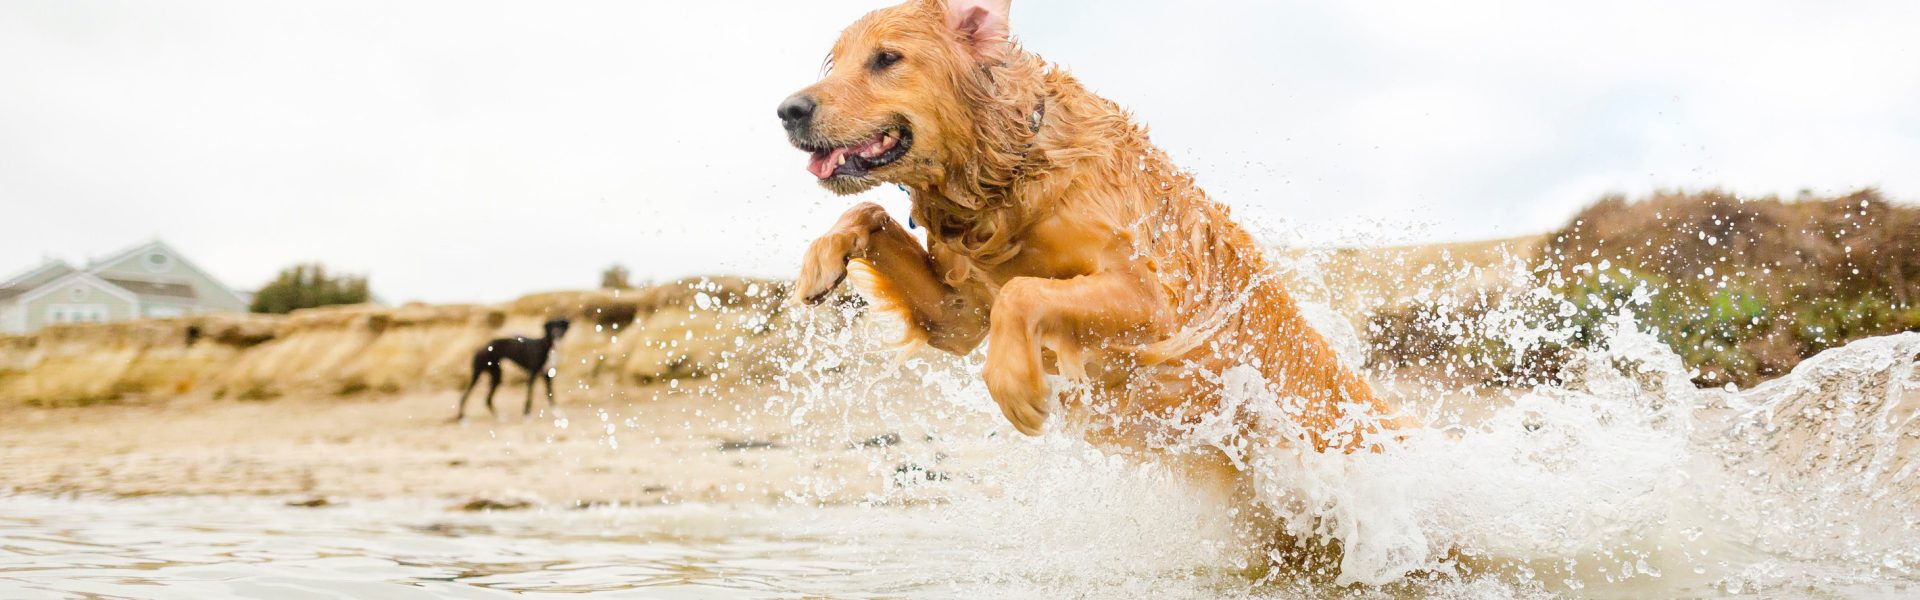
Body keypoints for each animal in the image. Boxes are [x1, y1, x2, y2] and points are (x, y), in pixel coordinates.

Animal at [775, 0, 1397, 463]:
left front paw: (1015, 383)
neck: (1007, 174)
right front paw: (819, 263)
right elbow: (868, 213)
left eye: (886, 58)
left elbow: (1022, 292)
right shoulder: (959, 317)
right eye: (834, 63)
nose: (788, 110)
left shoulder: (1153, 300)